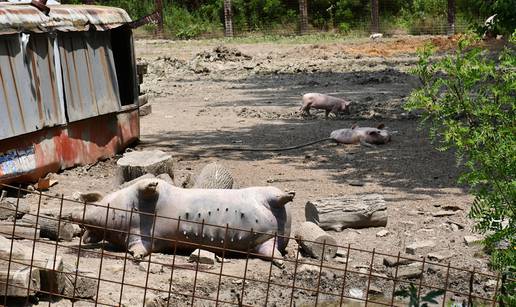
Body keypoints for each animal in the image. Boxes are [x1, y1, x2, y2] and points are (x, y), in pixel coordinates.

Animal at [69, 179, 294, 266]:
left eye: (97, 206)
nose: (70, 216)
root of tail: (284, 230)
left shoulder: (143, 192)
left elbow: (146, 185)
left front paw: (153, 183)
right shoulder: (141, 240)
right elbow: (139, 249)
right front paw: (137, 258)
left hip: (265, 193)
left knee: (279, 196)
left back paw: (291, 194)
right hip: (263, 243)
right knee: (270, 250)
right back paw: (281, 263)